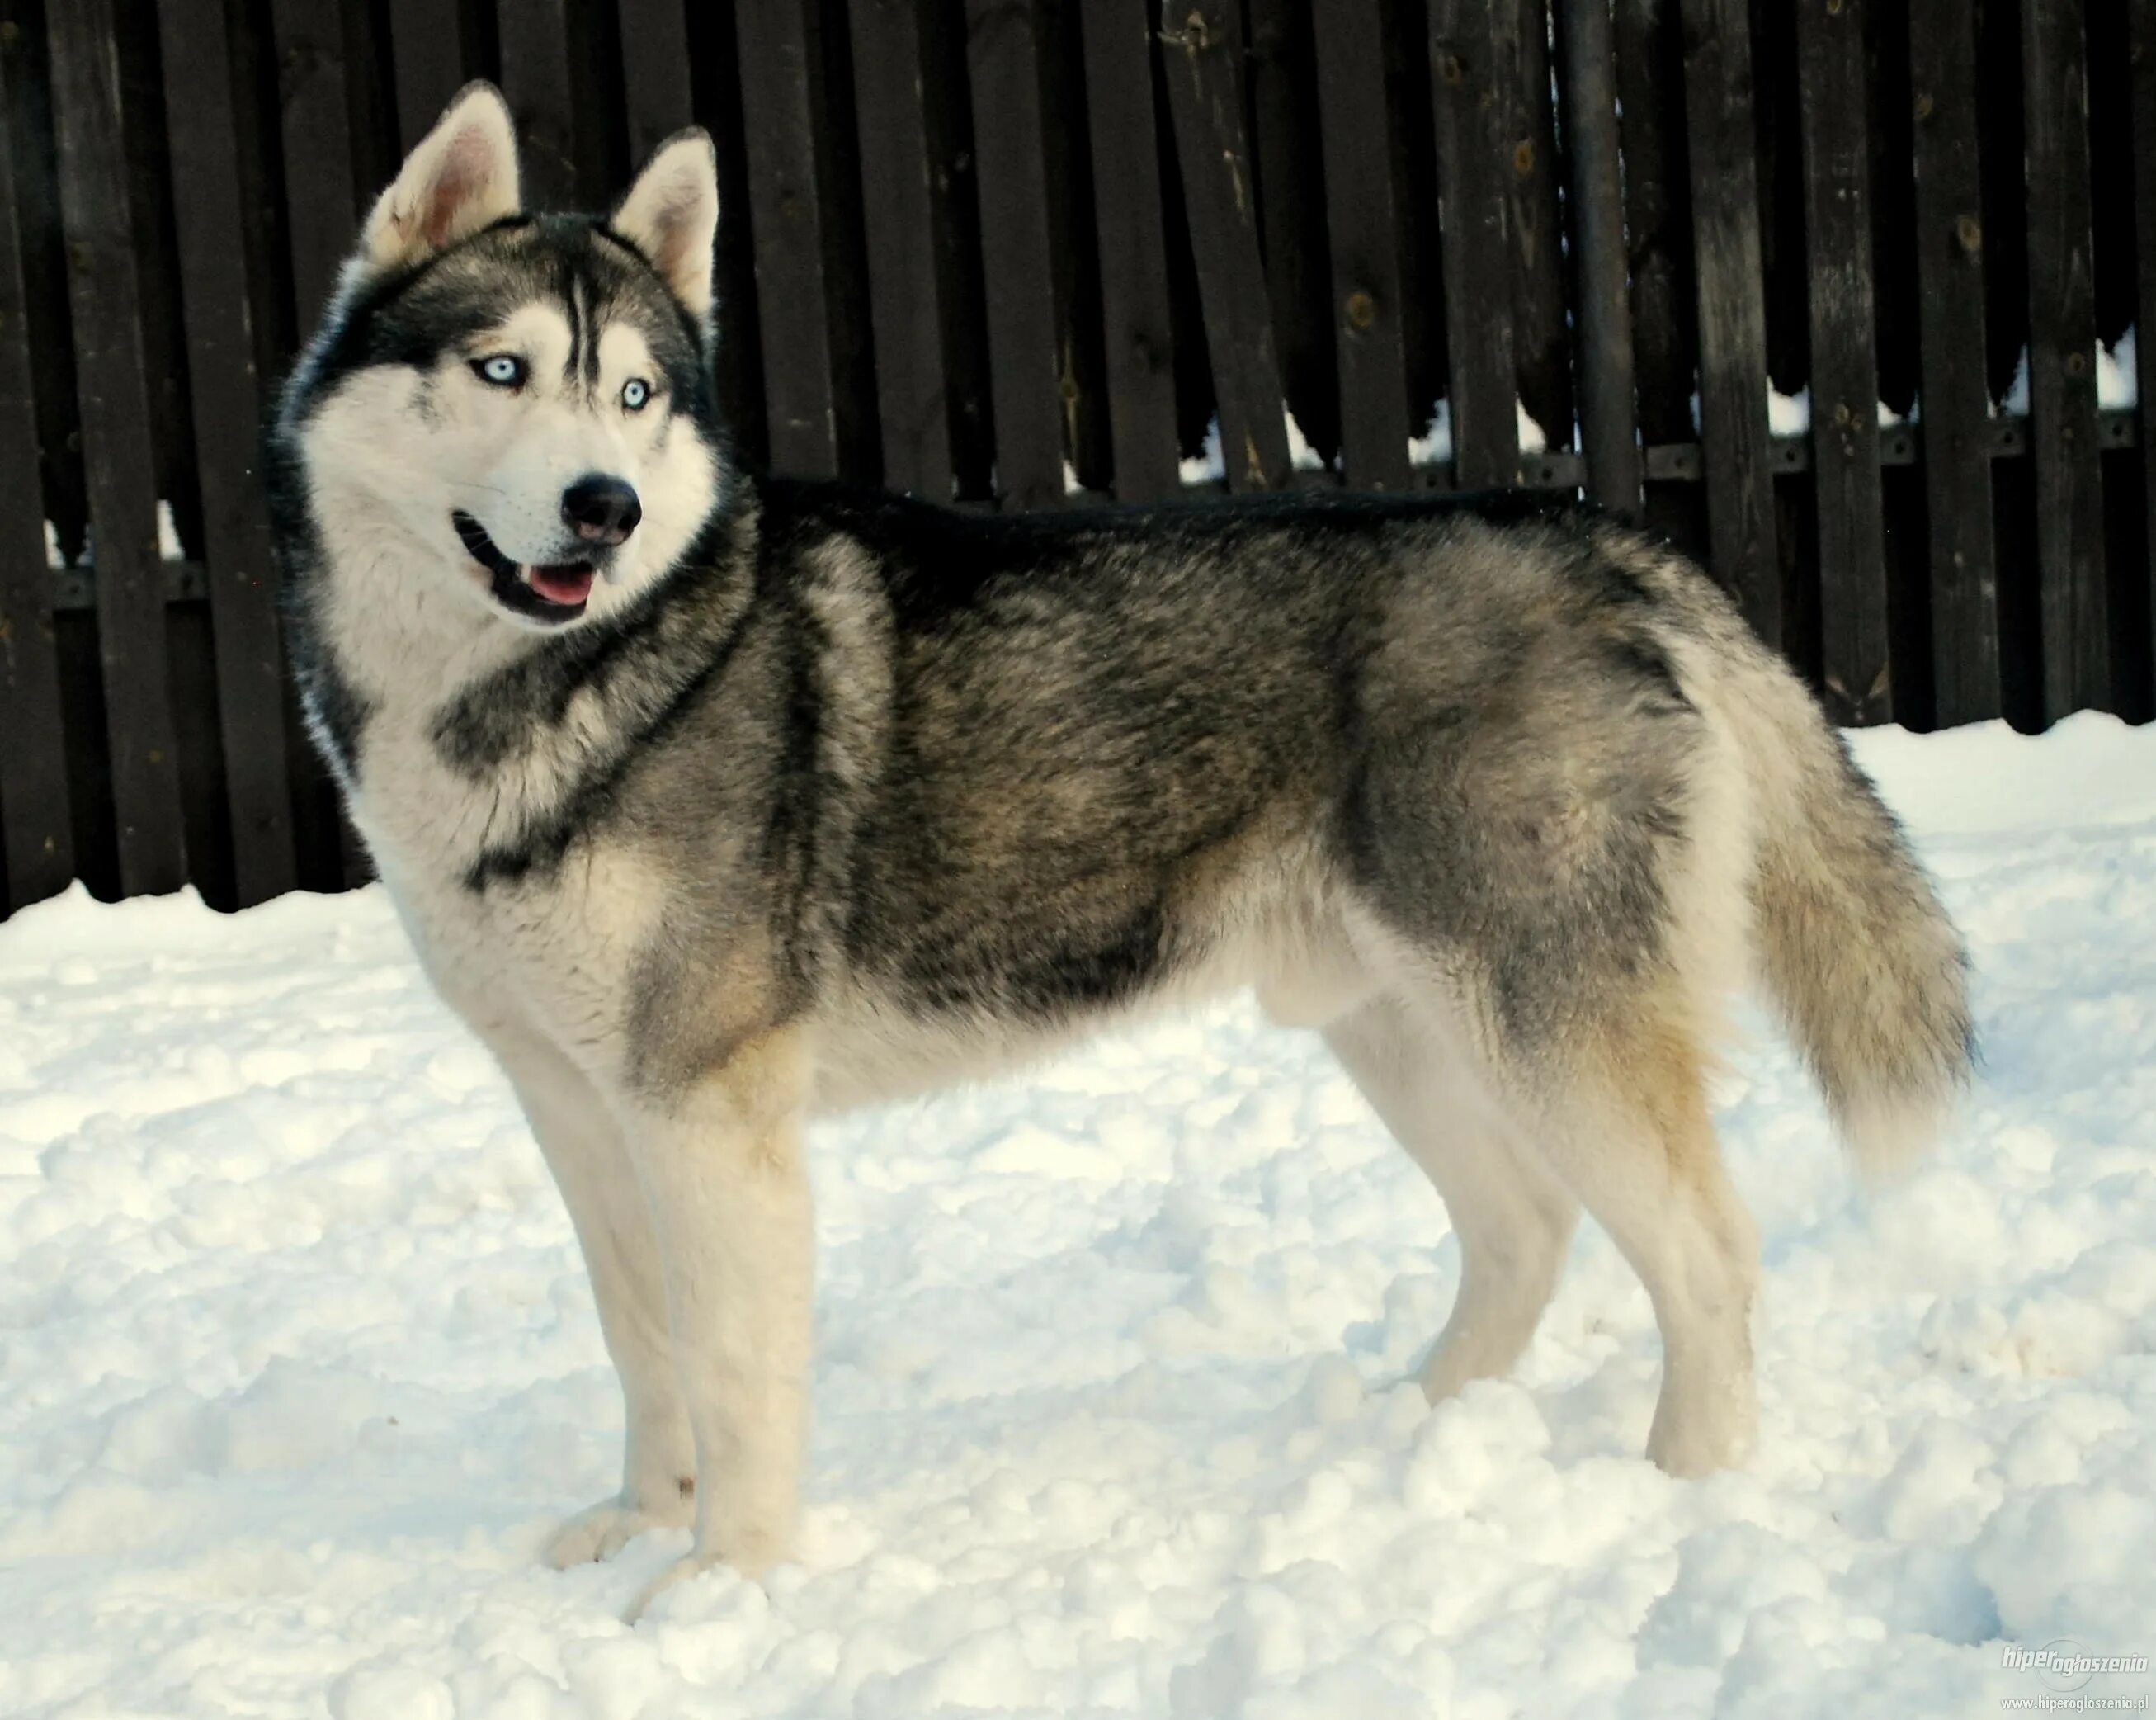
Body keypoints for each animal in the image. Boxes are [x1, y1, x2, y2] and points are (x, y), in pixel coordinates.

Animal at [265, 83, 1974, 1620]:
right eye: (502, 370)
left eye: (632, 395)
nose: (605, 508)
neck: (554, 689)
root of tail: (1601, 533)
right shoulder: (576, 1103)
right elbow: (642, 1345)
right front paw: (638, 1524)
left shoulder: (707, 1108)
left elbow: (733, 1372)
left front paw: (719, 1591)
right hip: (1395, 1022)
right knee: (1521, 1228)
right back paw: (1416, 1428)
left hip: (1542, 1016)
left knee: (1705, 1251)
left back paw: (1685, 1483)